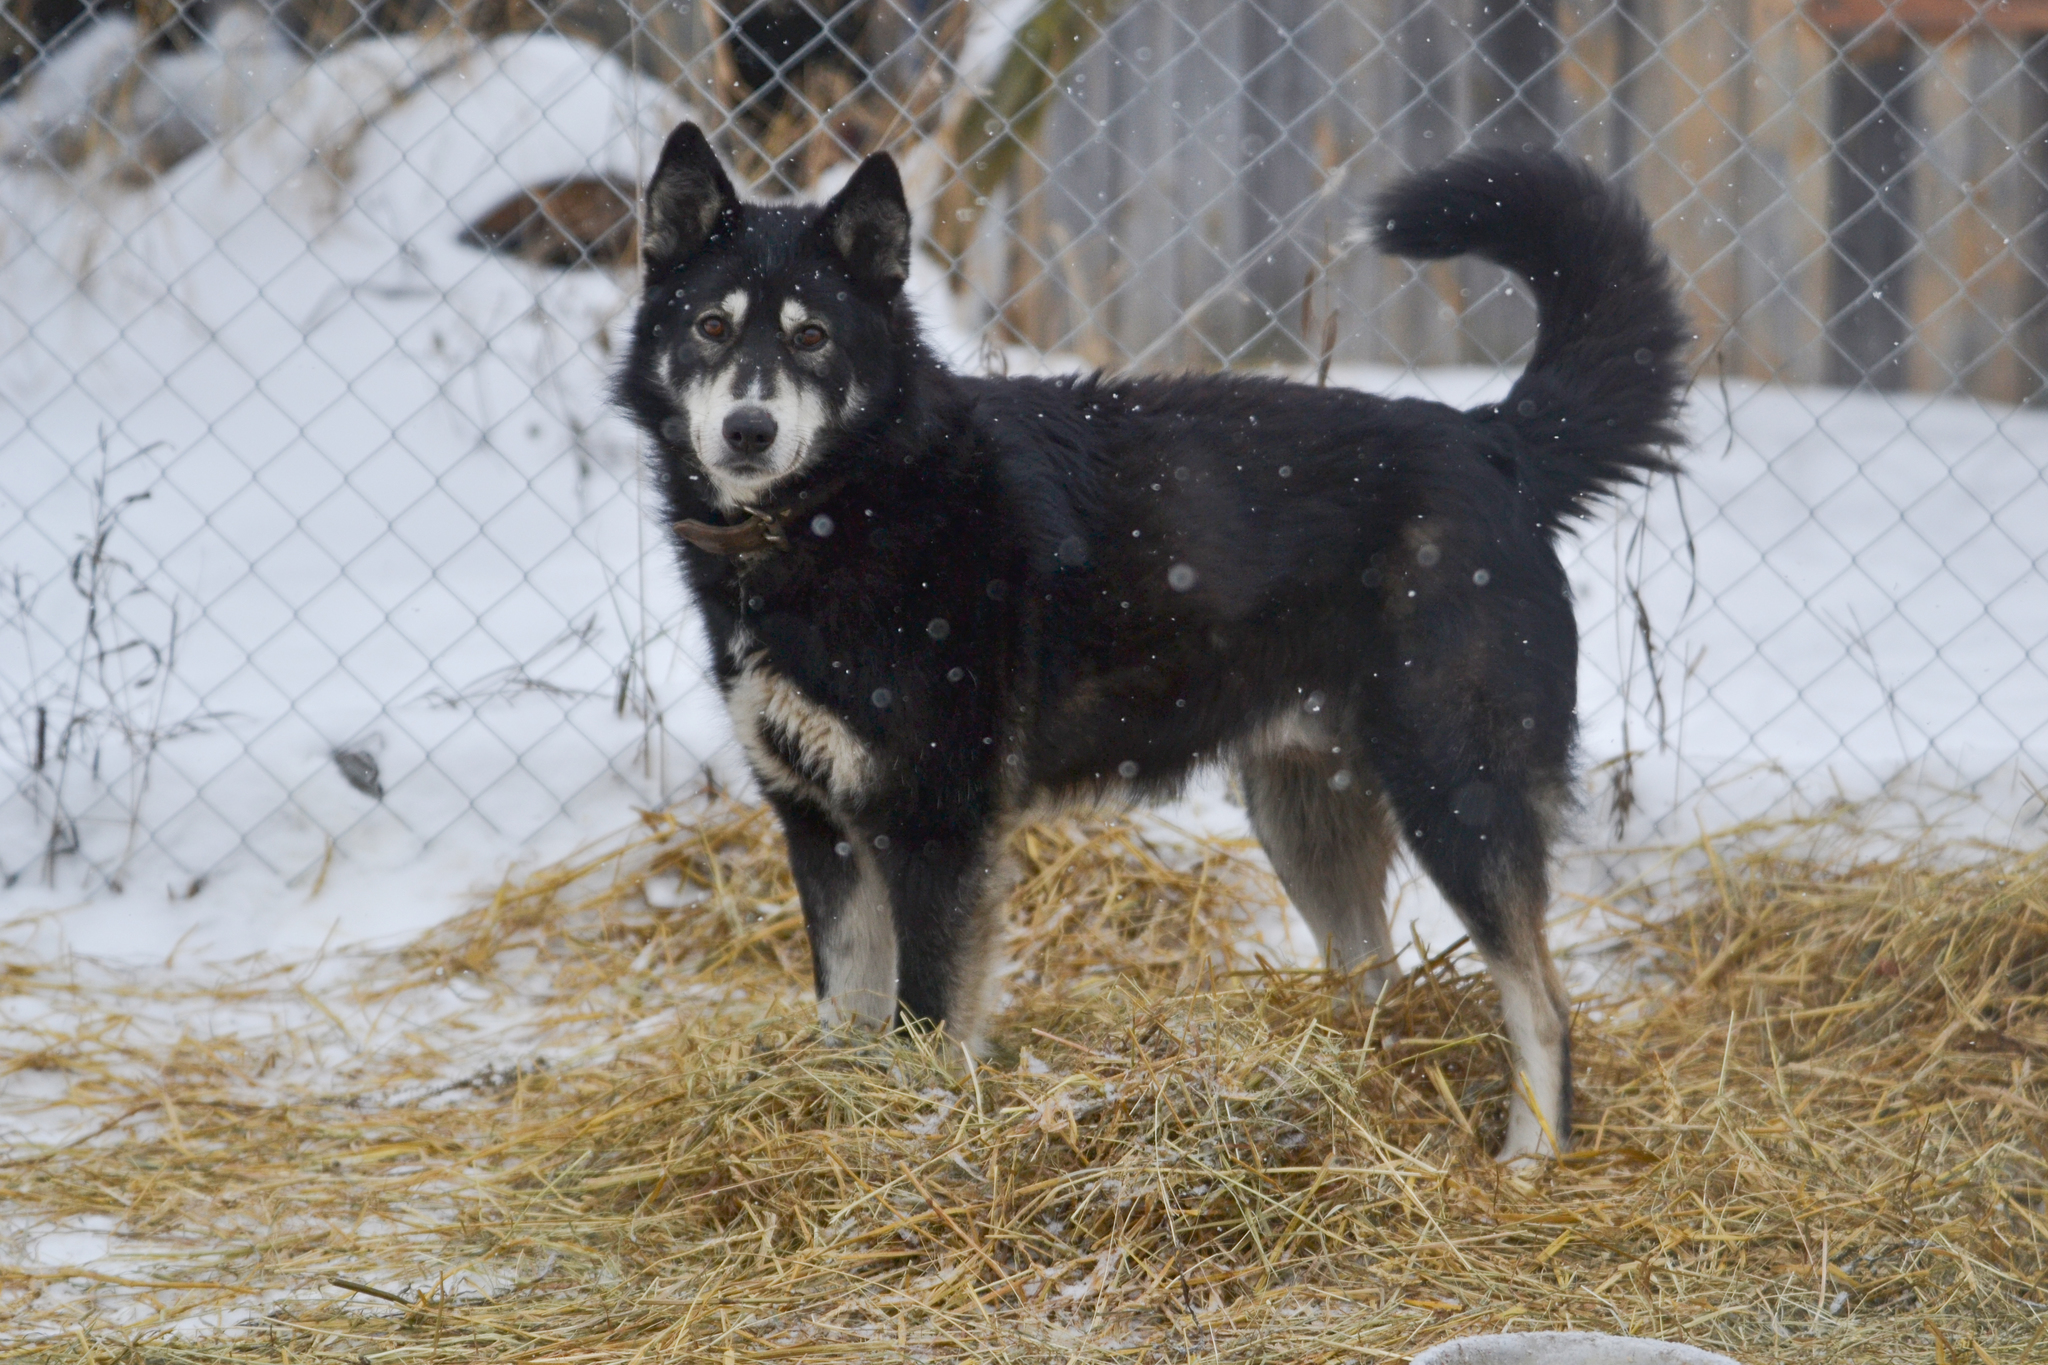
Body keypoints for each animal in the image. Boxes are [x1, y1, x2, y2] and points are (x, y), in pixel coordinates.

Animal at [610, 122, 1679, 1162]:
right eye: (711, 327)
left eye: (813, 337)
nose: (749, 429)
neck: (848, 503)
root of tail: (1494, 444)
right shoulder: (820, 827)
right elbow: (847, 1014)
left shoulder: (935, 829)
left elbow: (924, 1026)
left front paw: (915, 1142)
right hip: (1303, 810)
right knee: (1374, 975)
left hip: (1457, 792)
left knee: (1545, 1003)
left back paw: (1529, 1162)